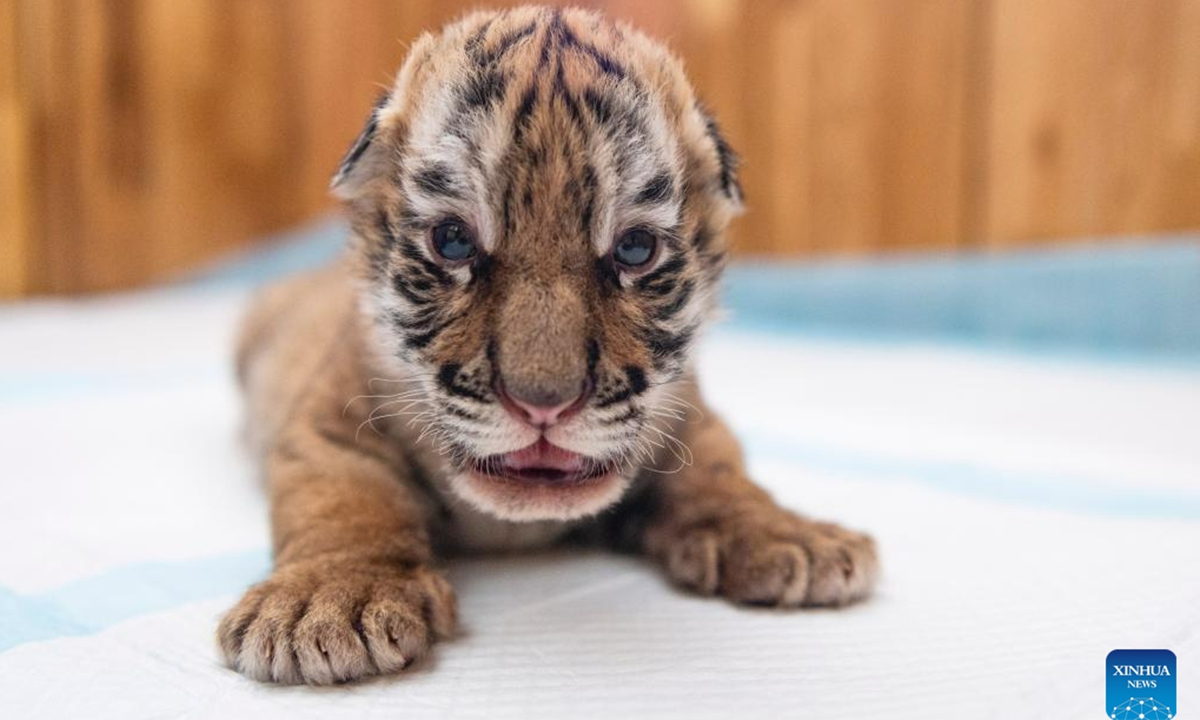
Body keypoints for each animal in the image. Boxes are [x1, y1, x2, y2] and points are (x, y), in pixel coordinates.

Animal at [217, 5, 878, 685]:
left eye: (635, 249)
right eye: (452, 241)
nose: (543, 405)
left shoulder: (687, 415)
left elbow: (721, 472)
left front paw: (791, 537)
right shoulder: (327, 421)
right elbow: (343, 498)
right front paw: (326, 601)